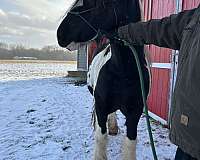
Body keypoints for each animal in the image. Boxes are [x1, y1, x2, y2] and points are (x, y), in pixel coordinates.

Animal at [57, 0, 149, 159]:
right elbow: (101, 137)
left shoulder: (135, 112)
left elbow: (130, 142)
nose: (60, 34)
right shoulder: (101, 106)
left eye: (98, 4)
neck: (123, 71)